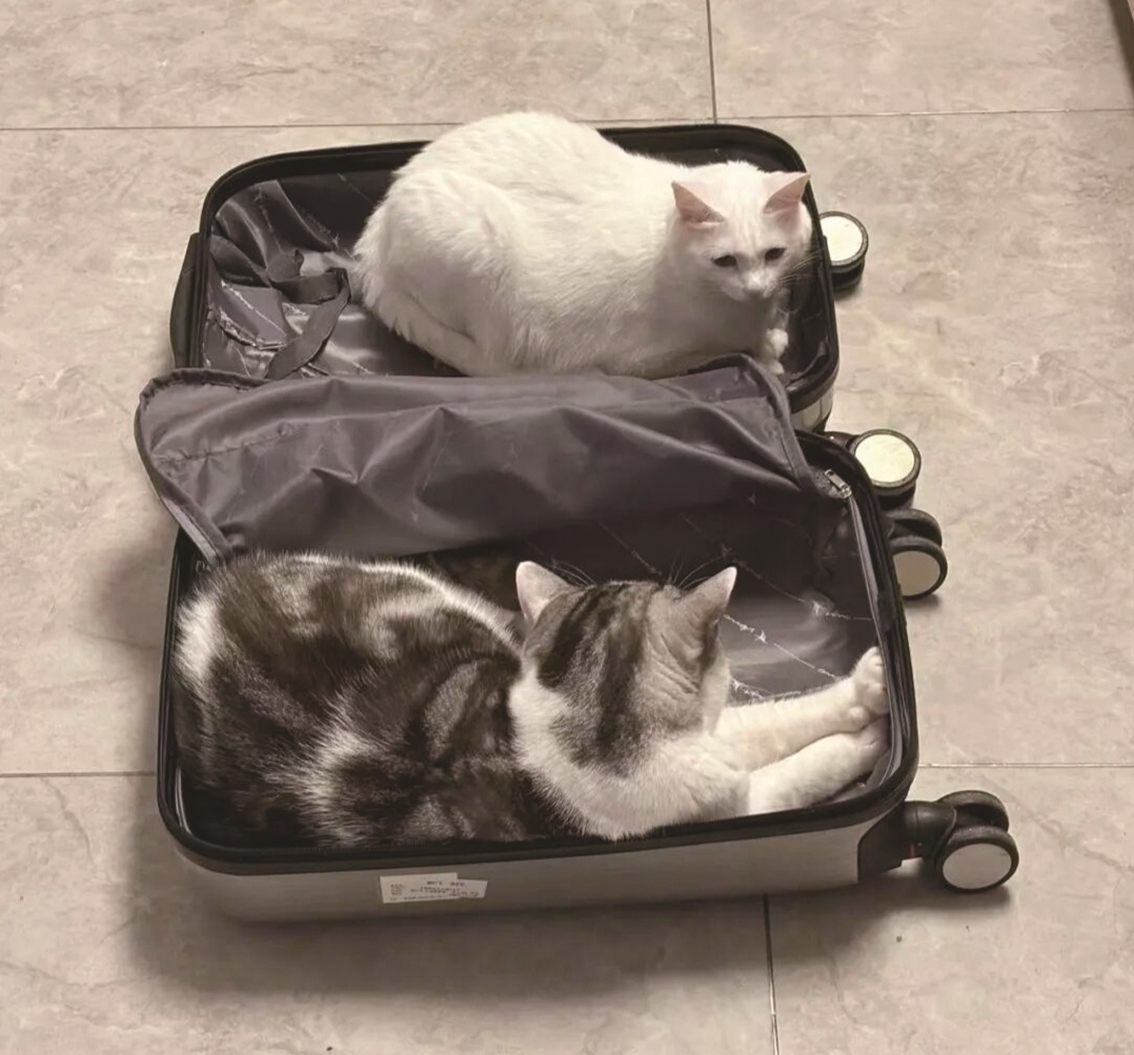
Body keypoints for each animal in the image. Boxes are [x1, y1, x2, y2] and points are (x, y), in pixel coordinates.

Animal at [174, 552, 889, 850]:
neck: (587, 715)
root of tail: (203, 608)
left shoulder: (718, 740)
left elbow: (771, 720)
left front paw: (869, 689)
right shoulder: (735, 804)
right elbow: (798, 767)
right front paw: (864, 741)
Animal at [352, 112, 813, 381]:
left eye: (774, 254)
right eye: (724, 261)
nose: (756, 288)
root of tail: (378, 220)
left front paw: (767, 339)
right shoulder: (639, 361)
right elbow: (725, 351)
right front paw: (767, 358)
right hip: (473, 246)